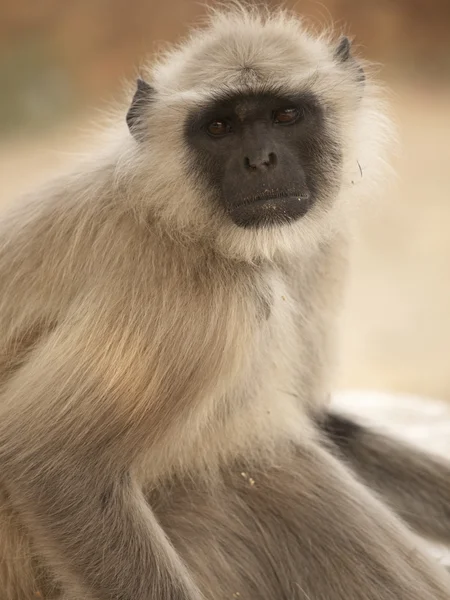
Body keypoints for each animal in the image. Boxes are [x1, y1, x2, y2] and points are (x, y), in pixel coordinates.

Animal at [0, 5, 450, 600]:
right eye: (219, 127)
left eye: (285, 115)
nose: (260, 160)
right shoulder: (191, 294)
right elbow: (55, 466)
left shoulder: (320, 245)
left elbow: (316, 419)